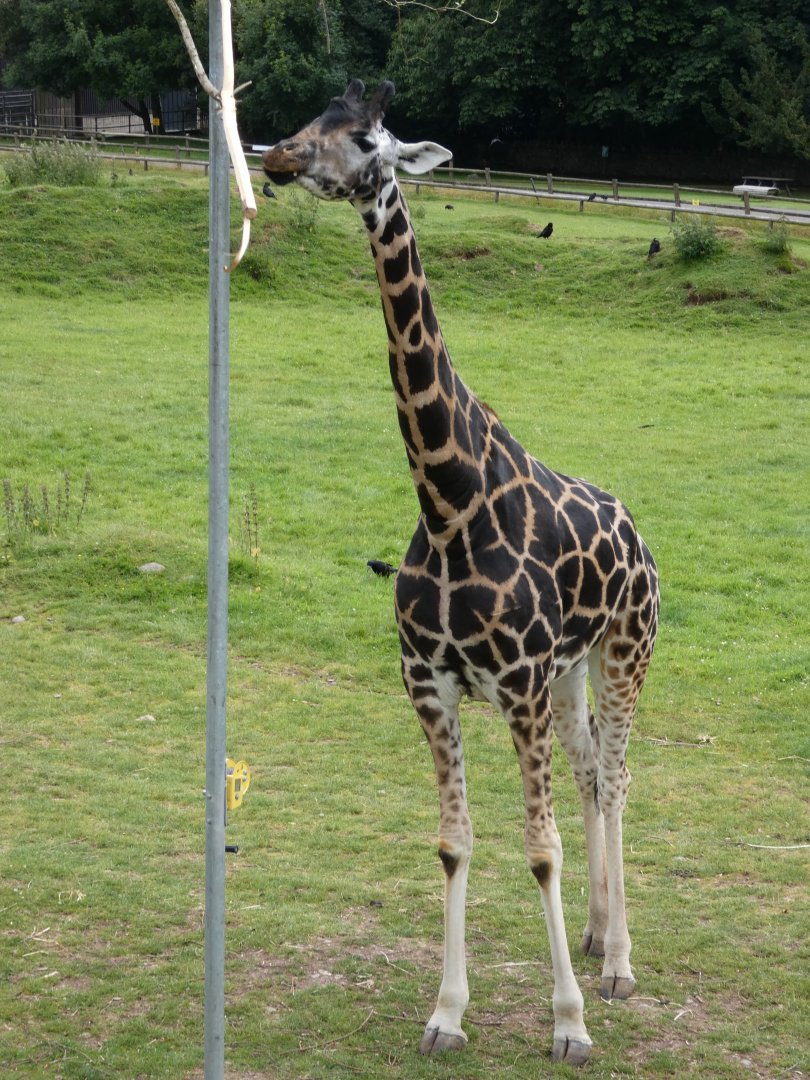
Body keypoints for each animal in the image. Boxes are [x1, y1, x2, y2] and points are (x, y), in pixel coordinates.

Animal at [262, 80, 659, 1066]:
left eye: (367, 138)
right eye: (310, 121)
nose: (276, 156)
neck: (449, 502)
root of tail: (637, 533)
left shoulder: (514, 686)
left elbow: (539, 849)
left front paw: (569, 1024)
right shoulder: (431, 684)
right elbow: (455, 843)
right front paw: (447, 1013)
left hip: (625, 654)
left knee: (620, 777)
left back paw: (619, 965)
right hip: (570, 674)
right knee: (591, 773)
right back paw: (596, 933)